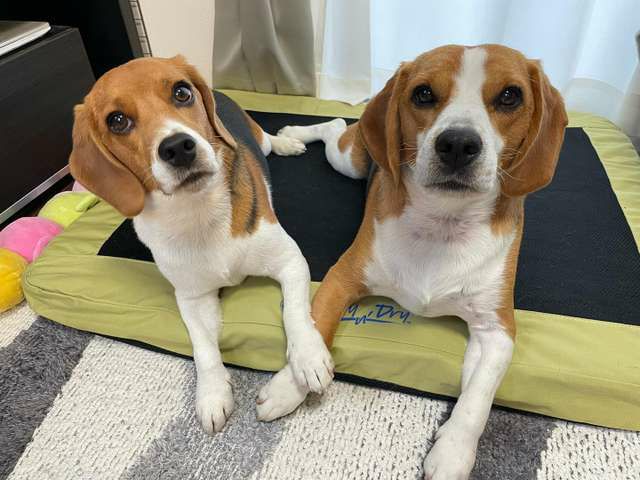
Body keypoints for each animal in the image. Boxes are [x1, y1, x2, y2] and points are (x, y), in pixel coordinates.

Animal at [69, 56, 334, 434]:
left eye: (182, 92)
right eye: (117, 121)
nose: (178, 147)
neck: (197, 212)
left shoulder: (290, 260)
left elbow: (296, 312)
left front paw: (308, 358)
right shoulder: (191, 297)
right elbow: (203, 346)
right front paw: (211, 394)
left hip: (259, 141)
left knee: (269, 139)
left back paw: (289, 141)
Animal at [275, 44, 568, 479]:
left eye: (510, 96)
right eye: (424, 94)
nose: (458, 144)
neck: (443, 222)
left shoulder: (497, 328)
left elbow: (479, 395)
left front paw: (453, 452)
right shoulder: (343, 276)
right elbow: (317, 321)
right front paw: (291, 381)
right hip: (349, 158)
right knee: (333, 127)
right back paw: (294, 135)